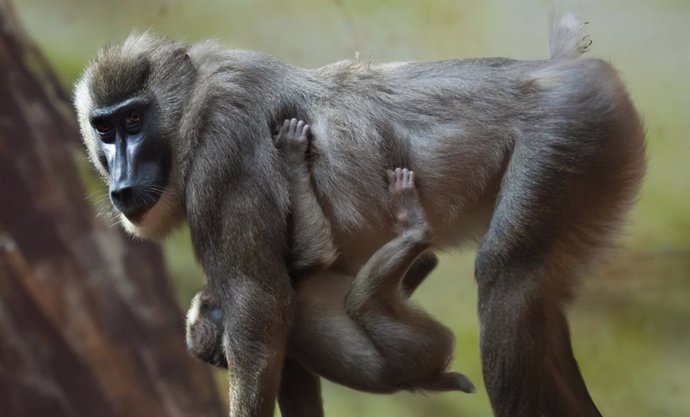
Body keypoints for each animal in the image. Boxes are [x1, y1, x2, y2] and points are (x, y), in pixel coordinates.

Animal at [185, 118, 472, 394]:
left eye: (203, 309)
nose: (204, 298)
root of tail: (425, 380)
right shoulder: (287, 283)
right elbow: (316, 253)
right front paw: (293, 156)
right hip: (419, 347)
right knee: (362, 300)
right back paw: (414, 227)